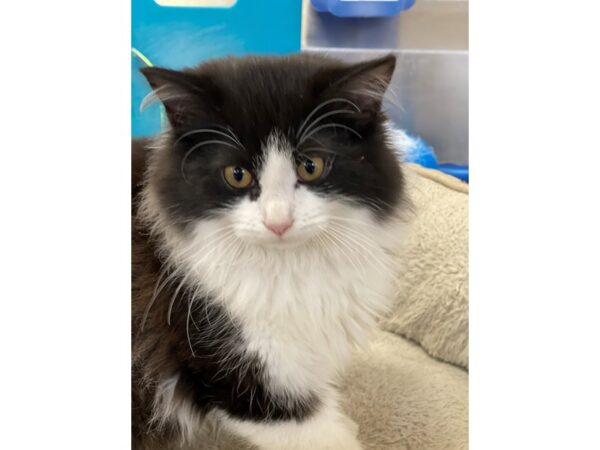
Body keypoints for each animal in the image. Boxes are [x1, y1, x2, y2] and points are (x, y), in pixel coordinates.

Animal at [133, 53, 406, 450]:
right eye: (237, 174)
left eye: (311, 166)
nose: (278, 221)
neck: (289, 266)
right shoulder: (243, 376)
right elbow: (319, 432)